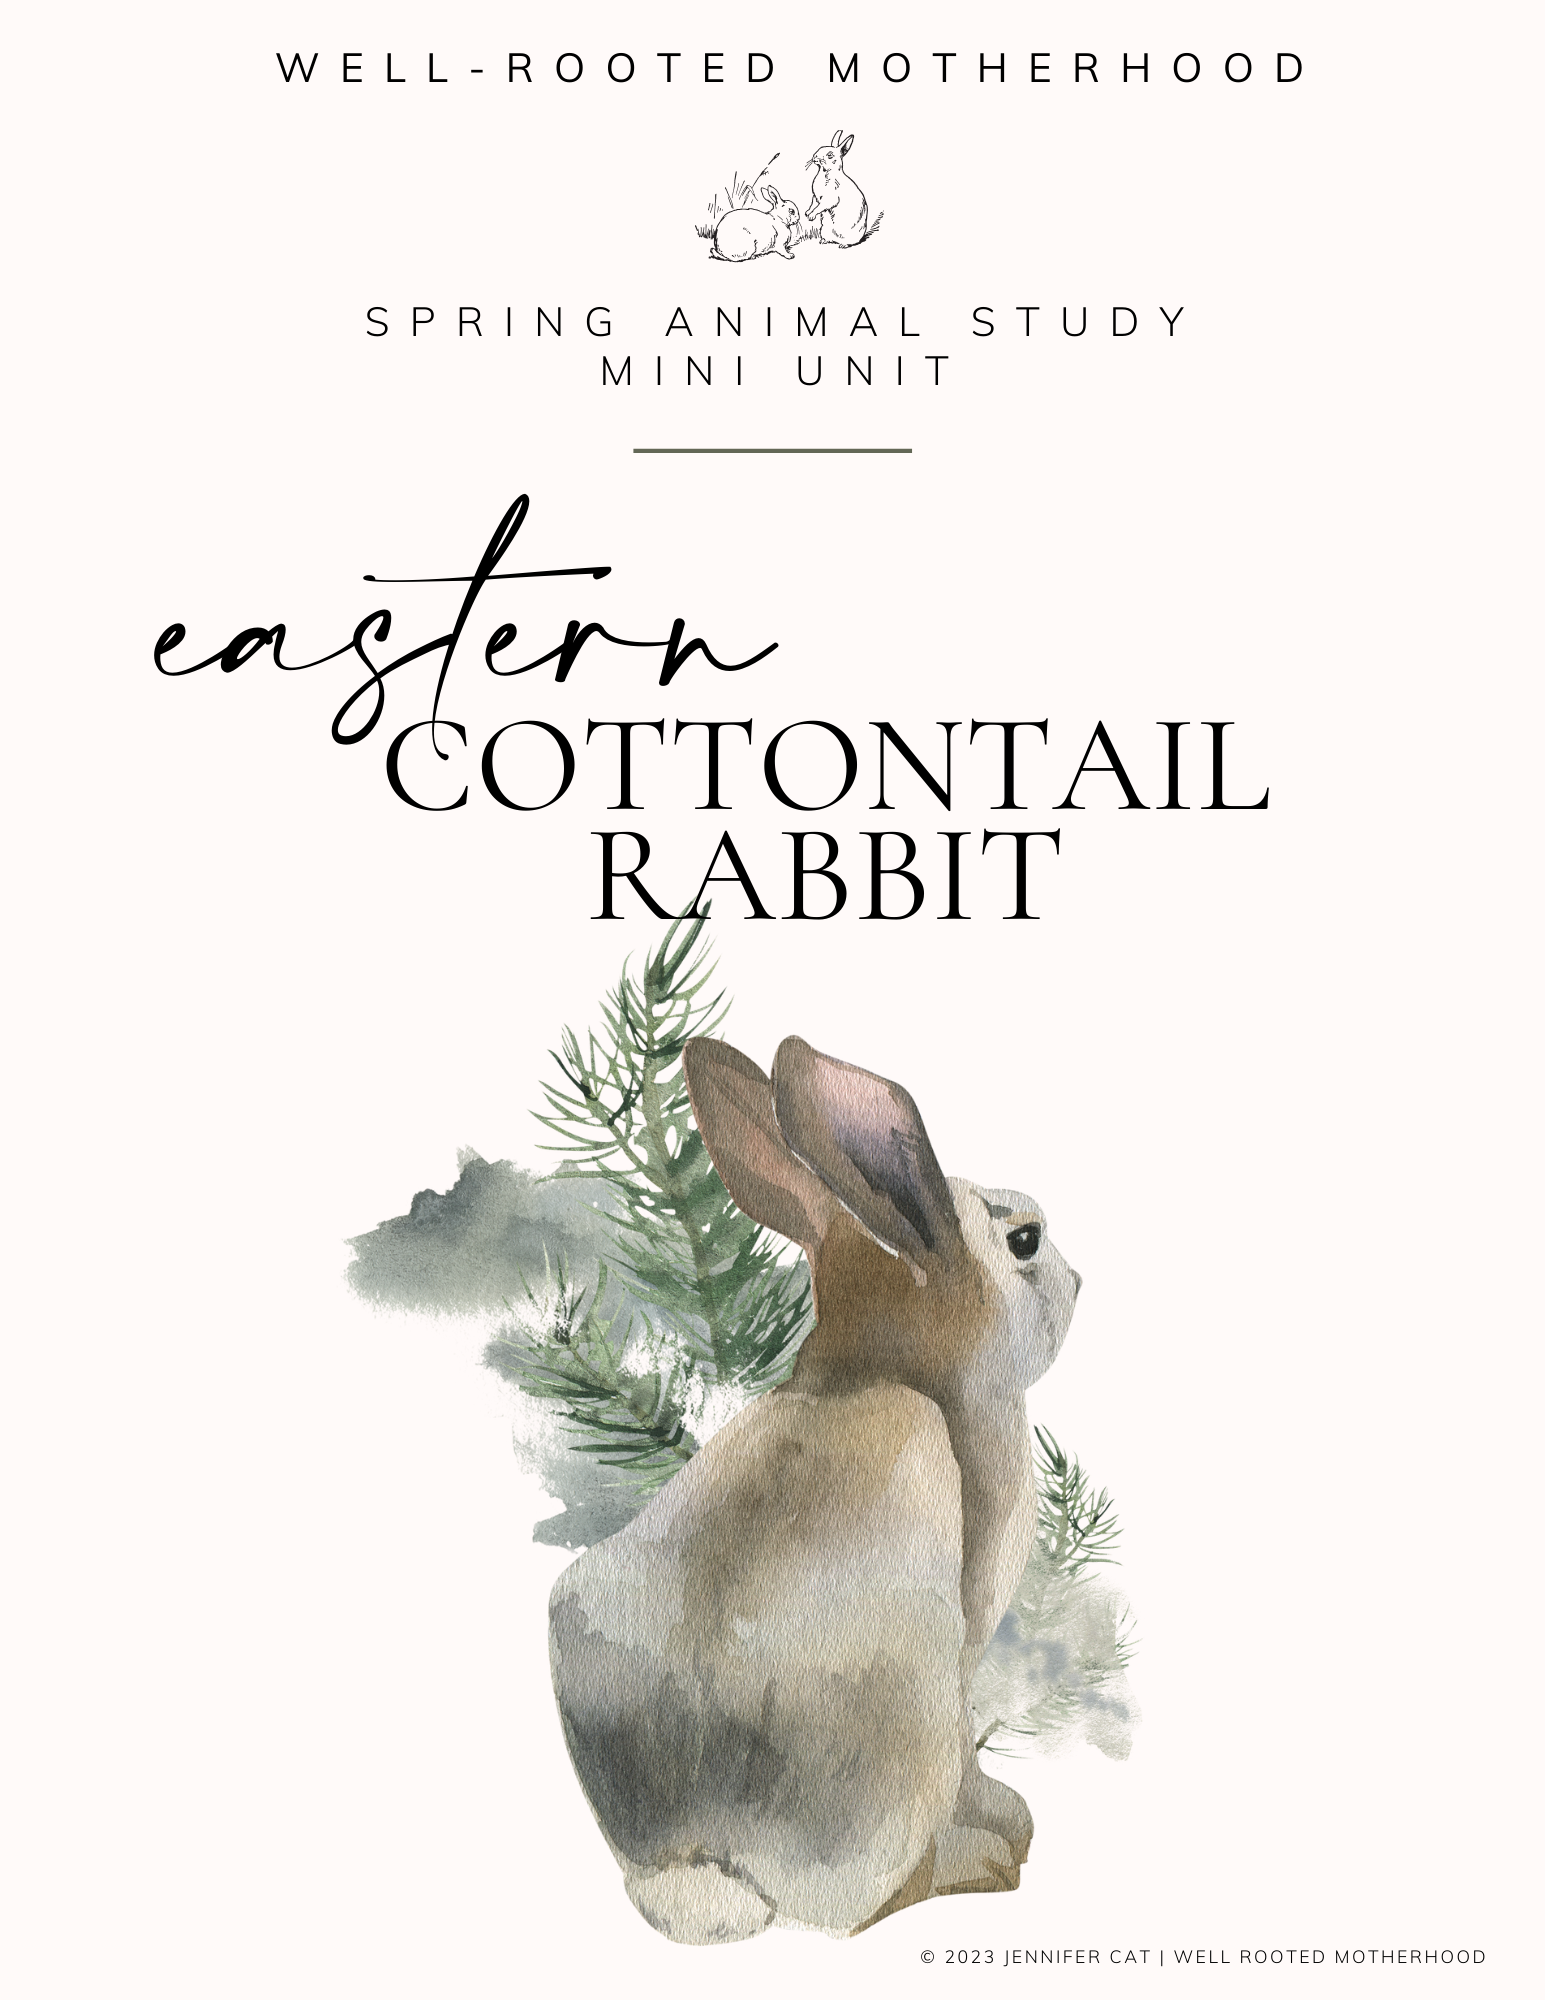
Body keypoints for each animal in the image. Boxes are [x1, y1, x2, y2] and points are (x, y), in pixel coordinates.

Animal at [548, 1034, 1082, 1945]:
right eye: (1024, 1240)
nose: (1080, 1279)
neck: (879, 1365)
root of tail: (710, 1864)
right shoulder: (967, 1637)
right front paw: (1004, 1818)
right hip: (911, 1708)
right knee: (873, 1903)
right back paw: (985, 1856)